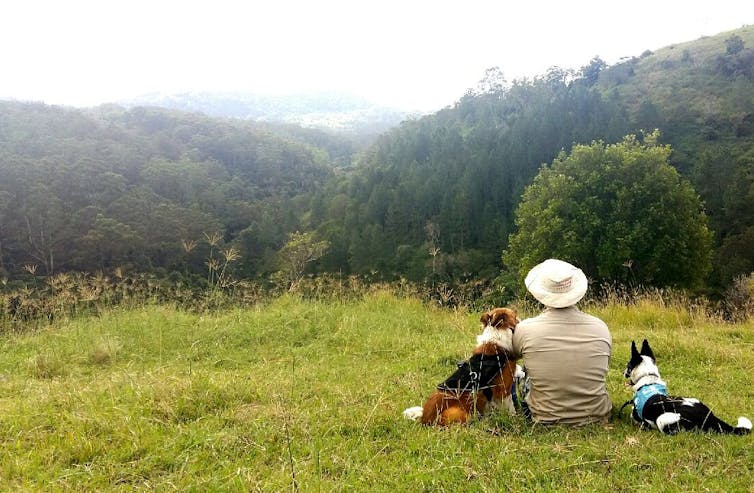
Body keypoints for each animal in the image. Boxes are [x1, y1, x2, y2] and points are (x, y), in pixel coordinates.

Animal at [620, 338, 748, 434]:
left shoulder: (637, 415)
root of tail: (709, 417)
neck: (648, 378)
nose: (623, 372)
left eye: (628, 365)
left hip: (663, 419)